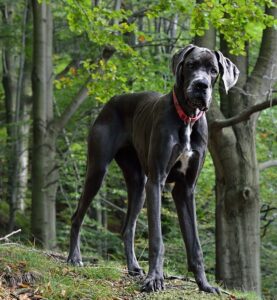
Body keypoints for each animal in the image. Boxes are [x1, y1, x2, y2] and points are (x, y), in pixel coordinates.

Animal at [68, 44, 238, 292]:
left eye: (214, 70)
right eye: (191, 65)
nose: (201, 85)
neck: (187, 119)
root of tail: (112, 100)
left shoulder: (185, 190)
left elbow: (195, 244)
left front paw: (205, 284)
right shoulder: (157, 181)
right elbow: (157, 239)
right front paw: (155, 279)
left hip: (139, 185)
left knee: (127, 228)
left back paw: (133, 267)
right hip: (98, 171)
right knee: (77, 216)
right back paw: (74, 258)